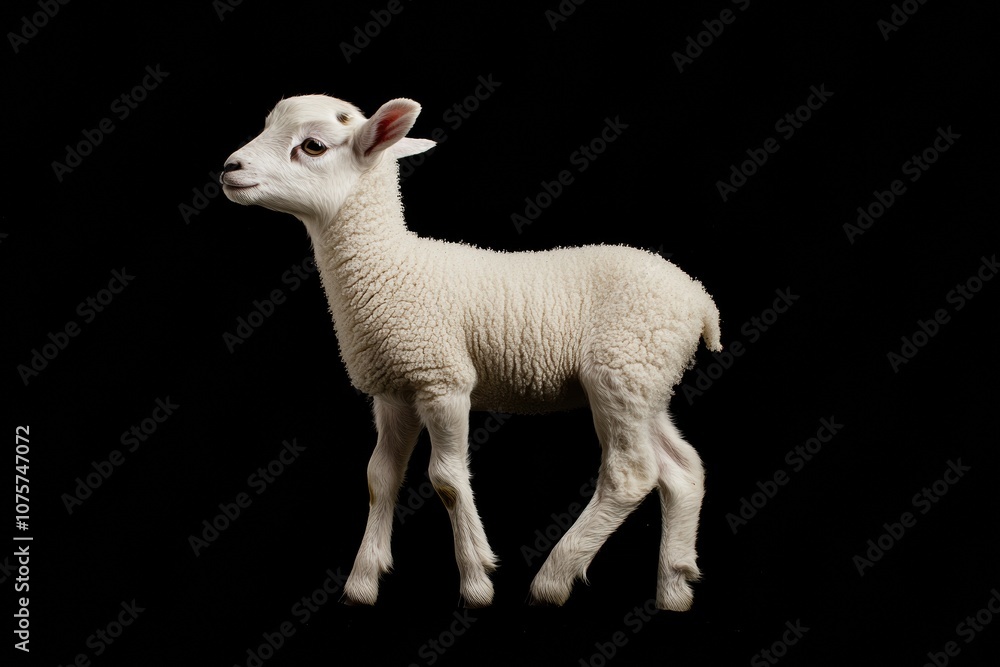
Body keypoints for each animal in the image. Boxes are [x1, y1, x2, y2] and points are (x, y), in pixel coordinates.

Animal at [221, 94, 722, 611]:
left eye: (313, 146)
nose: (228, 168)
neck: (391, 265)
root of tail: (699, 298)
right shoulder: (394, 389)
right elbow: (380, 478)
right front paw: (362, 582)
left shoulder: (443, 380)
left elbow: (445, 478)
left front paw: (477, 580)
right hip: (648, 380)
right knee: (682, 470)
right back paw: (674, 587)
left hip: (619, 372)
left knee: (631, 474)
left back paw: (554, 579)